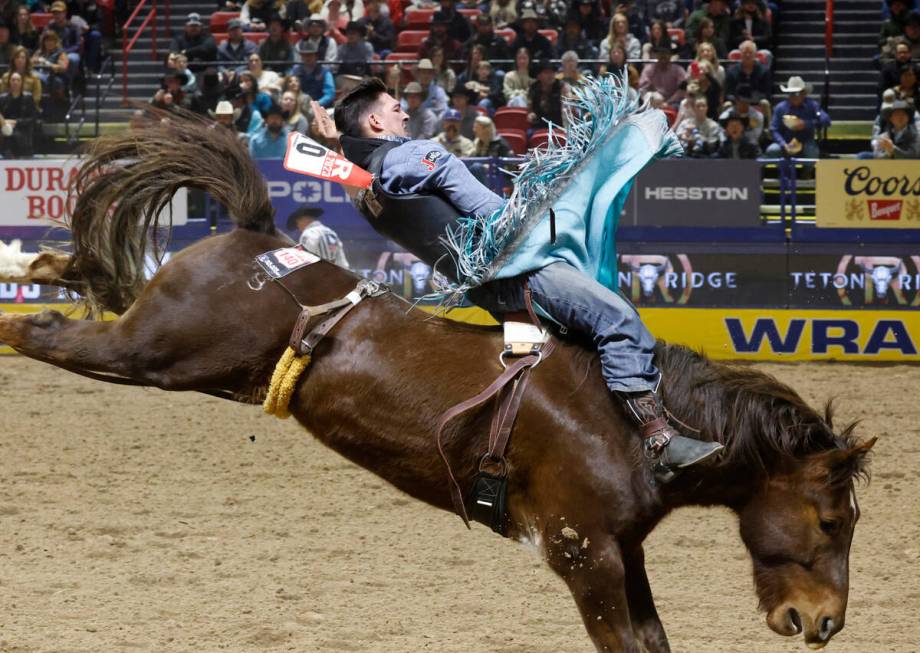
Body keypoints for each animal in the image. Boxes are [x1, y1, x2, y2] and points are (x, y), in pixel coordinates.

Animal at [0, 117, 876, 652]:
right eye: (832, 521)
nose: (824, 621)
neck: (634, 421)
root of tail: (256, 234)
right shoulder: (582, 550)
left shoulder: (621, 548)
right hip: (154, 348)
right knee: (43, 333)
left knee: (81, 282)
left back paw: (38, 261)